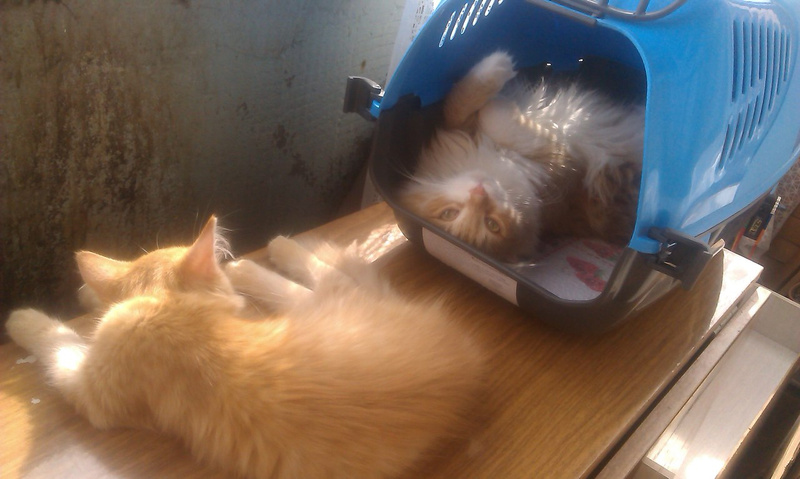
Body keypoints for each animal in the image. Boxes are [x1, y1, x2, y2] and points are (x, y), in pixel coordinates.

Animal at [6, 216, 484, 479]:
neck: (167, 303)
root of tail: (460, 350)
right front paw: (88, 295)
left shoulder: (92, 387)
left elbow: (58, 341)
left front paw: (22, 319)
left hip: (321, 304)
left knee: (325, 278)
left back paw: (265, 255)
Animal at [399, 51, 644, 263]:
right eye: (493, 225)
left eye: (448, 213)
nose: (479, 192)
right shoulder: (562, 161)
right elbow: (493, 117)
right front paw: (501, 76)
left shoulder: (458, 127)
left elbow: (459, 104)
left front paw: (494, 69)